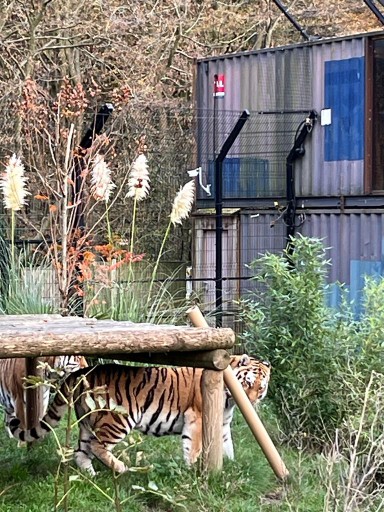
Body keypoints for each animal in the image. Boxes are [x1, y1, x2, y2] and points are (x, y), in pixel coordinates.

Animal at [10, 354, 272, 474]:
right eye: (247, 383)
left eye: (261, 388)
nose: (251, 402)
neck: (228, 400)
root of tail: (80, 372)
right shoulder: (196, 418)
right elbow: (194, 448)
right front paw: (191, 471)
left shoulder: (223, 425)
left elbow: (227, 447)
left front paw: (230, 467)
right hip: (117, 419)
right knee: (97, 446)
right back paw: (120, 468)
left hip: (87, 421)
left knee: (81, 451)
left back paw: (90, 476)